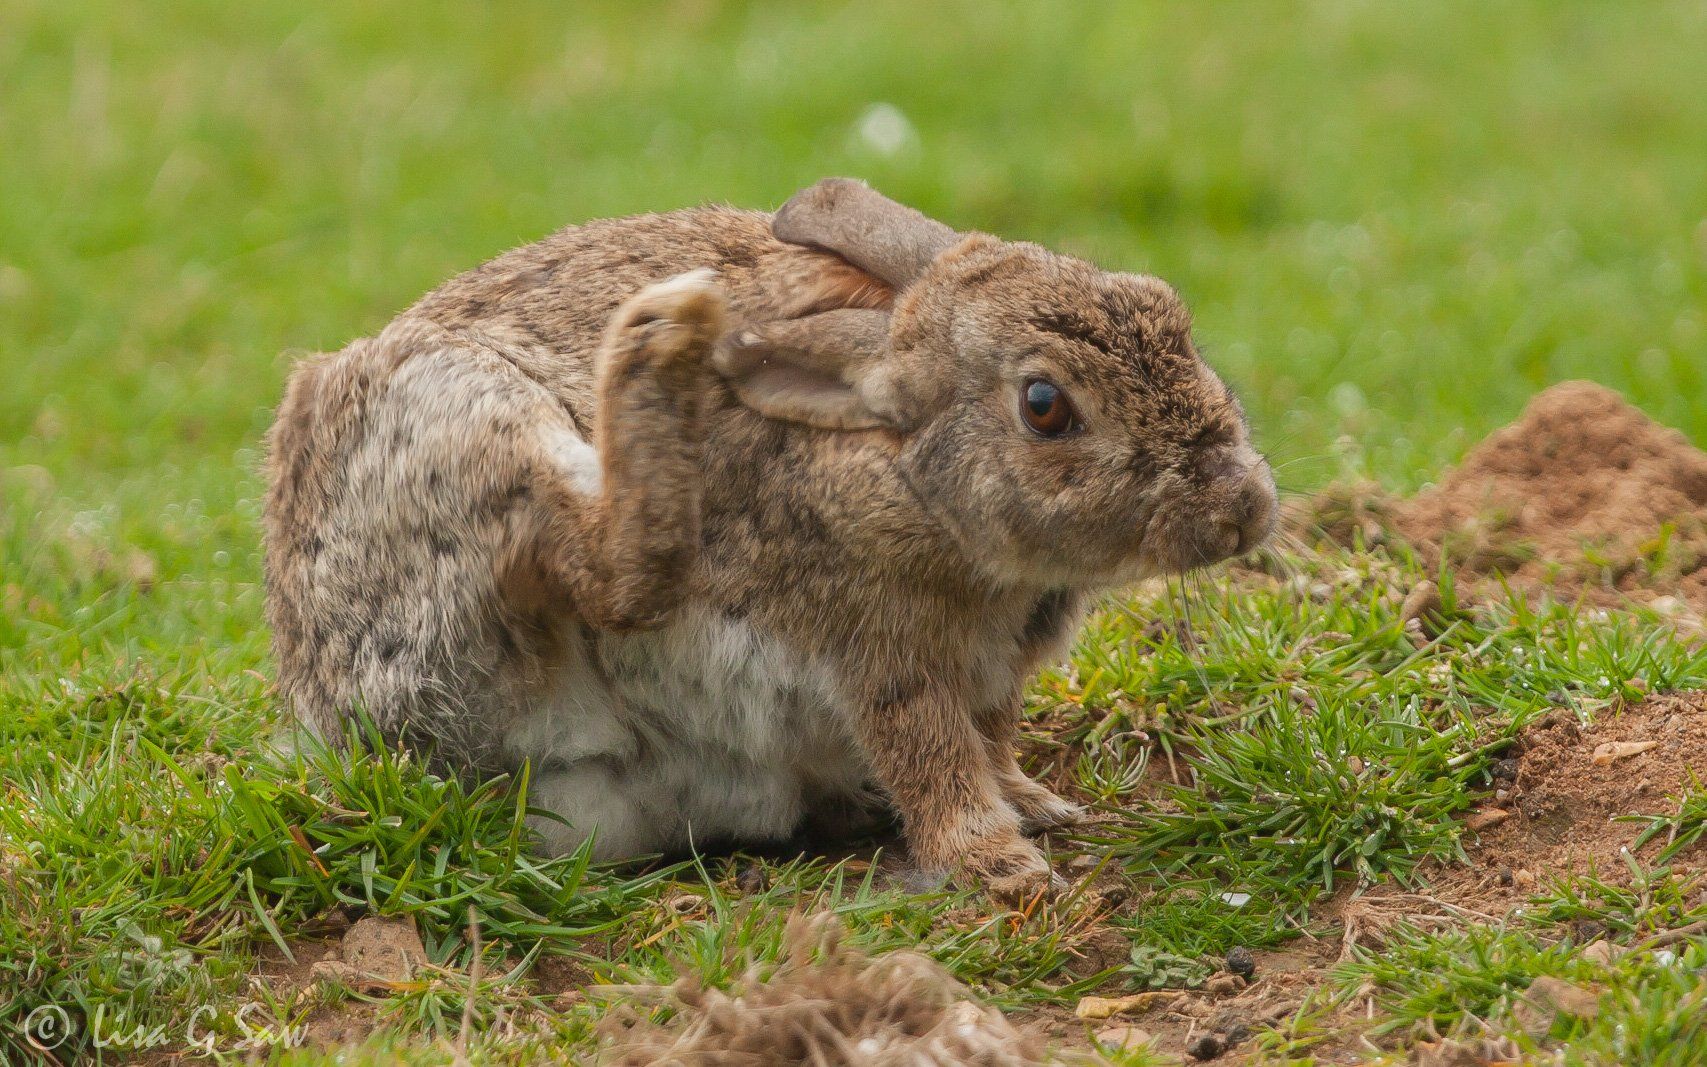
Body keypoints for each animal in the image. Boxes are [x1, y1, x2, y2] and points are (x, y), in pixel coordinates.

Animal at [266, 179, 1276, 894]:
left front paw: (1037, 804)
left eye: (1165, 307)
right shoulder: (877, 647)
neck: (904, 466)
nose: (1245, 506)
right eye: (1044, 405)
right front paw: (999, 864)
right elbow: (932, 752)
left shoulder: (990, 675)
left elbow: (989, 740)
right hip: (461, 427)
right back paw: (658, 337)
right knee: (618, 580)